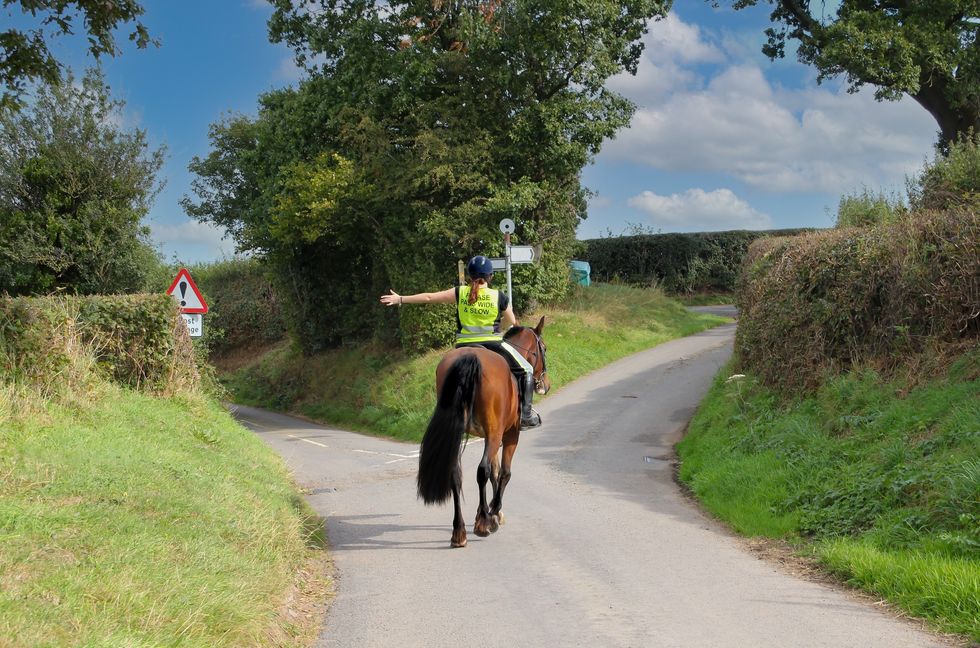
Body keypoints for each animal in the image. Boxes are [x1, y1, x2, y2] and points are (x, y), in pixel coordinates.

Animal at [416, 317, 550, 547]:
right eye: (544, 348)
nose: (546, 385)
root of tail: (471, 355)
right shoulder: (508, 435)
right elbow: (504, 472)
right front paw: (494, 513)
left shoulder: (491, 436)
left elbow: (495, 472)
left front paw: (491, 512)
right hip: (496, 434)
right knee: (482, 470)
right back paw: (481, 525)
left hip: (467, 433)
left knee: (456, 473)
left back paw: (459, 532)